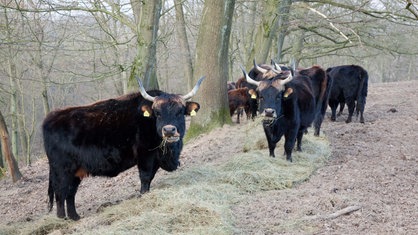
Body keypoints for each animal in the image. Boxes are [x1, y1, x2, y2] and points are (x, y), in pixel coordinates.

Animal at [42, 76, 204, 219]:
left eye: (180, 111)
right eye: (157, 113)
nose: (169, 130)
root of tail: (51, 117)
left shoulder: (155, 159)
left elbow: (150, 177)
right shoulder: (145, 154)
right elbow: (145, 177)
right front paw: (143, 195)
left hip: (76, 171)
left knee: (70, 193)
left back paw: (75, 217)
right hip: (62, 170)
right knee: (61, 192)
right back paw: (62, 218)